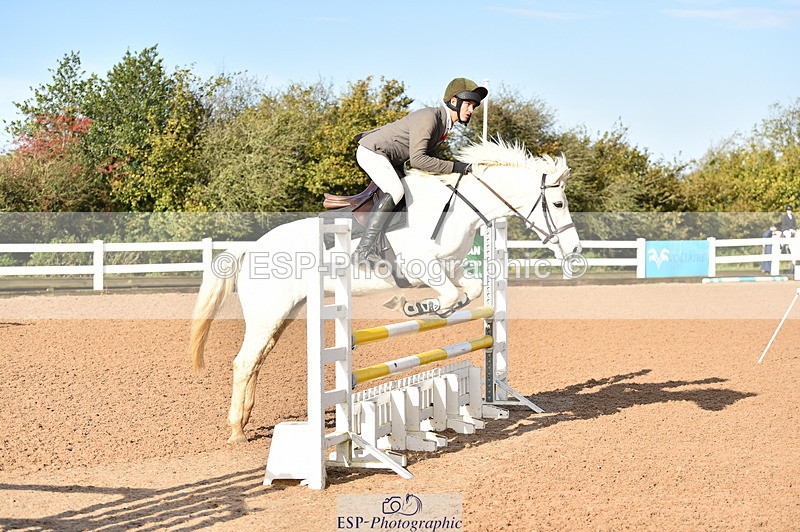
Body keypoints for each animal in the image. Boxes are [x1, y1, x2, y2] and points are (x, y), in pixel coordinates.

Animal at [188, 139, 582, 443]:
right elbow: (449, 297)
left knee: (256, 360)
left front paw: (432, 310)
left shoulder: (451, 267)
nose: (575, 251)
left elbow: (467, 292)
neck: (457, 208)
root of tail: (250, 248)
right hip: (268, 312)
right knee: (244, 361)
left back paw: (244, 420)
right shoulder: (422, 266)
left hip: (285, 312)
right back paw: (236, 431)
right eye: (558, 204)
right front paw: (416, 308)